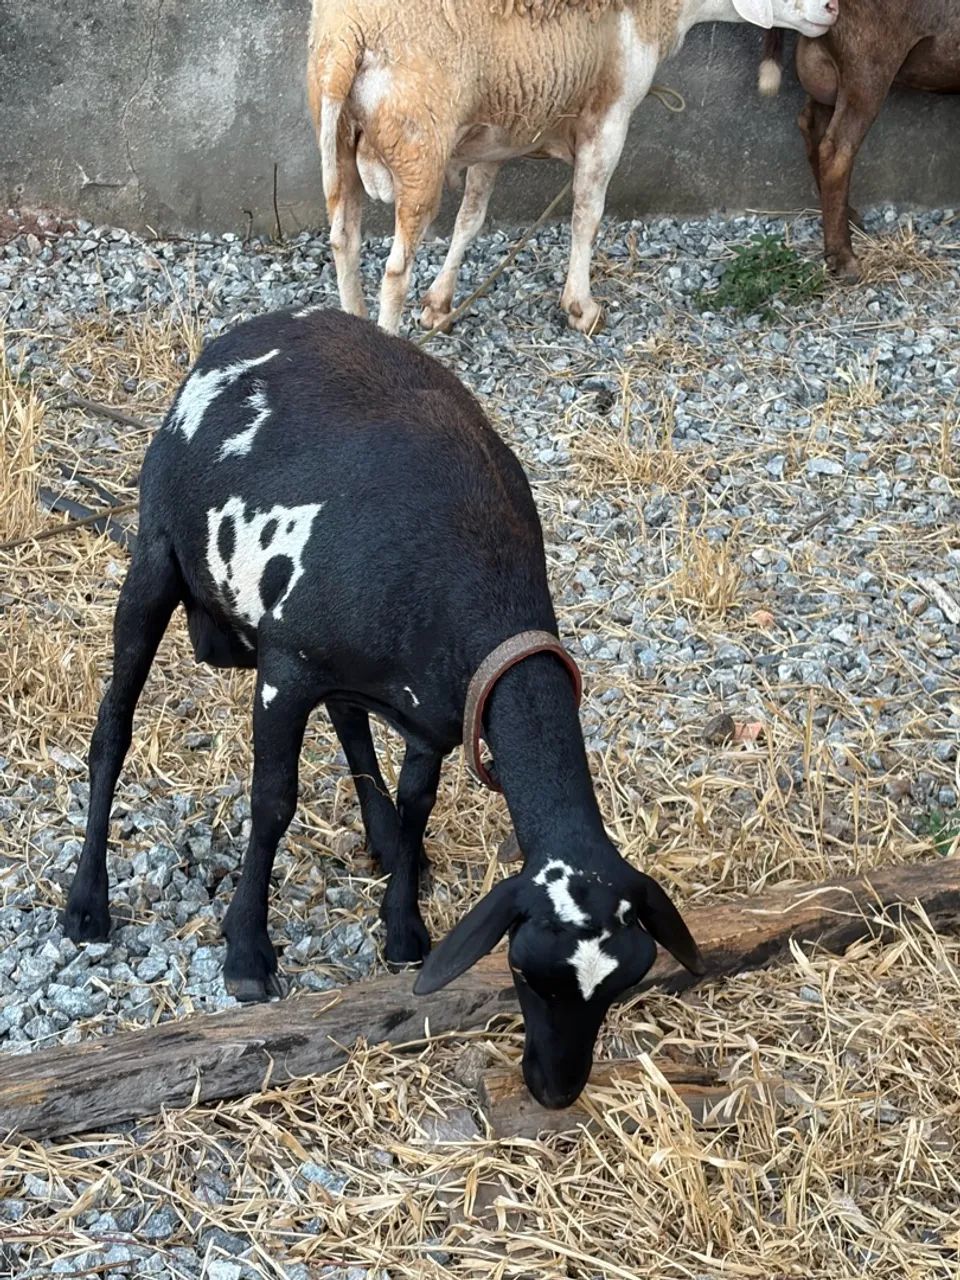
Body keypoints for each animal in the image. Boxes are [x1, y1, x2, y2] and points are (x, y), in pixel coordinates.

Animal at [61, 307, 703, 1109]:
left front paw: (403, 929)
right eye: (525, 971)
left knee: (351, 721)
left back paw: (387, 842)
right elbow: (273, 802)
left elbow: (416, 798)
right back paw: (85, 903)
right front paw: (247, 954)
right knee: (112, 730)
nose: (555, 1091)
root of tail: (241, 332)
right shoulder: (286, 669)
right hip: (154, 558)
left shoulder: (438, 713)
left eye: (621, 982)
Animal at [307, 0, 839, 335]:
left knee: (343, 242)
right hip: (420, 147)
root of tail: (348, 38)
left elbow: (470, 220)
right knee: (395, 270)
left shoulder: (499, 132)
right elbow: (587, 214)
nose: (834, 9)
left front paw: (440, 304)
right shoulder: (610, 119)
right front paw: (581, 307)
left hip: (339, 143)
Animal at [758, 6, 960, 278]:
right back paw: (844, 259)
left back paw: (848, 217)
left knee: (811, 126)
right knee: (837, 151)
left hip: (826, 69)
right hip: (866, 62)